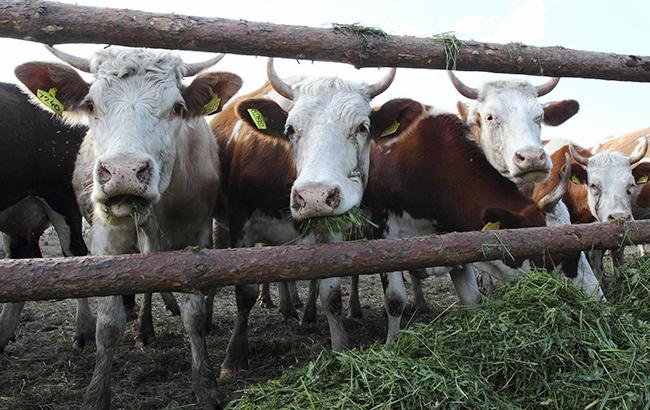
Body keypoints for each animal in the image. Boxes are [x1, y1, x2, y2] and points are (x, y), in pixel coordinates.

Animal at [15, 46, 243, 408]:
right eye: (91, 104)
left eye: (177, 107)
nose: (123, 172)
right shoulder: (106, 243)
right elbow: (108, 325)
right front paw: (96, 394)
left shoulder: (194, 240)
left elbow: (193, 317)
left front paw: (205, 386)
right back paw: (142, 330)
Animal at [210, 58, 394, 372]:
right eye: (290, 128)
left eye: (362, 127)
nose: (314, 196)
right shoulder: (241, 226)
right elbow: (244, 293)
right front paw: (233, 357)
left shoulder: (332, 230)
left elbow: (330, 293)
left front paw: (340, 347)